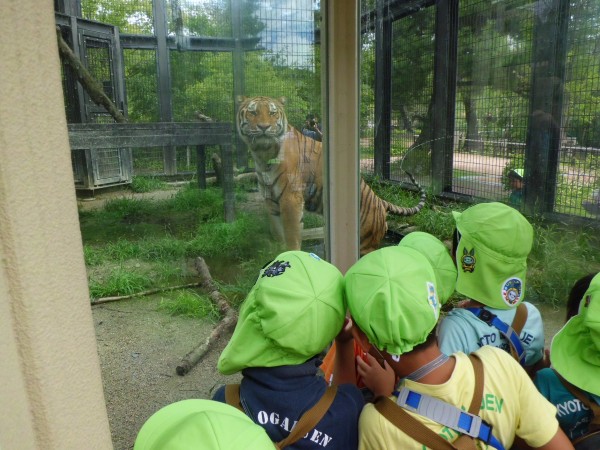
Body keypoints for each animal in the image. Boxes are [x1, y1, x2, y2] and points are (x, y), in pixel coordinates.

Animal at [236, 95, 426, 255]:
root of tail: (381, 201)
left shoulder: (290, 198)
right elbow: (277, 233)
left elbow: (292, 235)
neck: (262, 154)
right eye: (253, 112)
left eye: (273, 113)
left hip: (365, 243)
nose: (264, 127)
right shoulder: (270, 200)